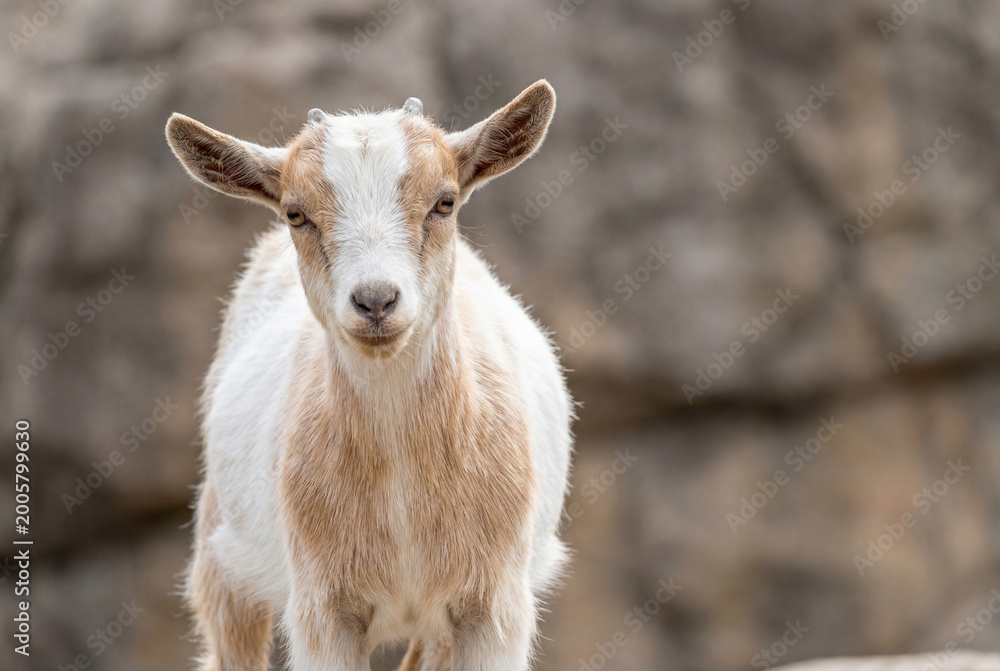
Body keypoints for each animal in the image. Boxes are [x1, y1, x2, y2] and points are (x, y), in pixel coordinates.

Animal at [165, 81, 573, 671]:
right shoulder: (322, 608)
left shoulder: (495, 605)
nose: (376, 300)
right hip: (221, 559)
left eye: (445, 201)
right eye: (296, 213)